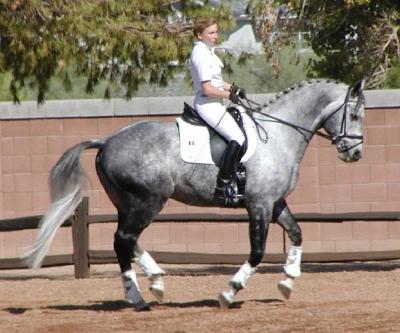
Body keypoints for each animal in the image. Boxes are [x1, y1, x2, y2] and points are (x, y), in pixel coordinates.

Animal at [25, 78, 366, 308]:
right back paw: (146, 291)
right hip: (148, 201)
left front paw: (287, 280)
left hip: (128, 204)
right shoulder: (259, 204)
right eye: (356, 115)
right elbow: (257, 251)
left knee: (126, 241)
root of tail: (107, 140)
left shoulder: (276, 202)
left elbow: (296, 233)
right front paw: (230, 291)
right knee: (124, 239)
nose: (355, 154)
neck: (278, 135)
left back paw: (149, 286)